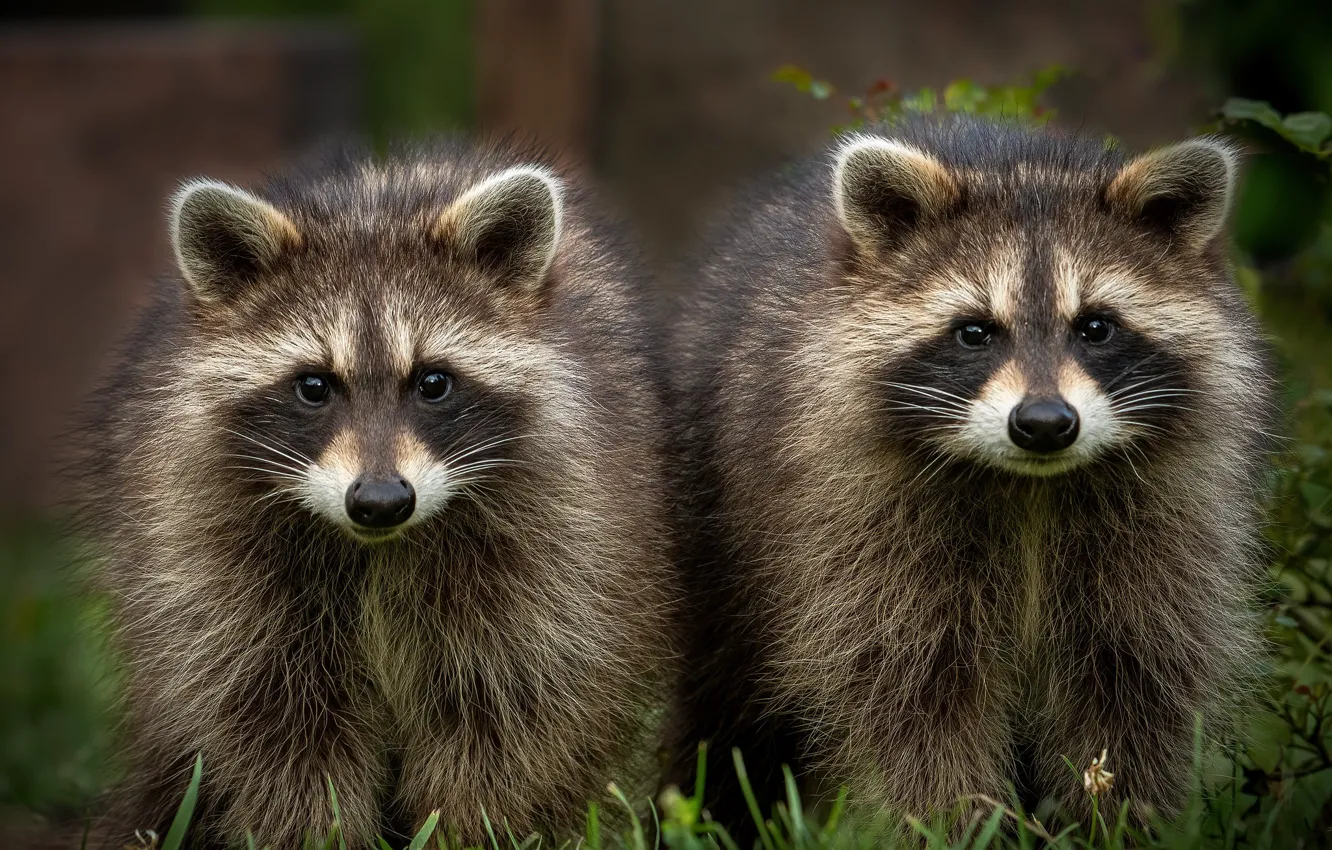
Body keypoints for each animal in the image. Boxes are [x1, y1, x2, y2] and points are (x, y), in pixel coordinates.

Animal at [73, 140, 675, 848]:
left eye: (433, 382)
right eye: (313, 386)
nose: (382, 501)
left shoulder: (561, 542)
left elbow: (514, 713)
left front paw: (468, 830)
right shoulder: (210, 555)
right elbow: (272, 725)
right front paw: (318, 831)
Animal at [666, 118, 1277, 829]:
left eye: (1096, 327)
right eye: (975, 332)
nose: (1044, 423)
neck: (1034, 485)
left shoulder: (1165, 529)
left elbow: (1133, 680)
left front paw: (1112, 820)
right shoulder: (859, 532)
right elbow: (917, 695)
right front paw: (957, 823)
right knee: (725, 708)